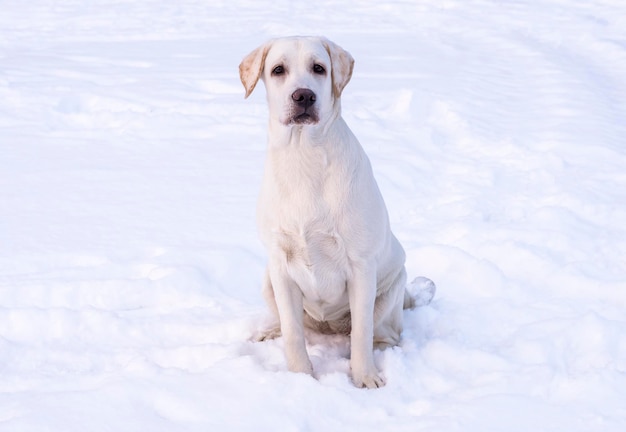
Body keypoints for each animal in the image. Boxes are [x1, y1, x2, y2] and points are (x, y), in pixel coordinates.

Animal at [238, 37, 428, 388]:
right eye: (278, 70)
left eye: (319, 68)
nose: (303, 96)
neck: (303, 154)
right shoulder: (280, 265)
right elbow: (293, 332)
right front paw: (301, 377)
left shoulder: (361, 266)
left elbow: (361, 335)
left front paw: (365, 377)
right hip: (268, 280)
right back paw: (269, 331)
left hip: (391, 289)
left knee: (382, 334)